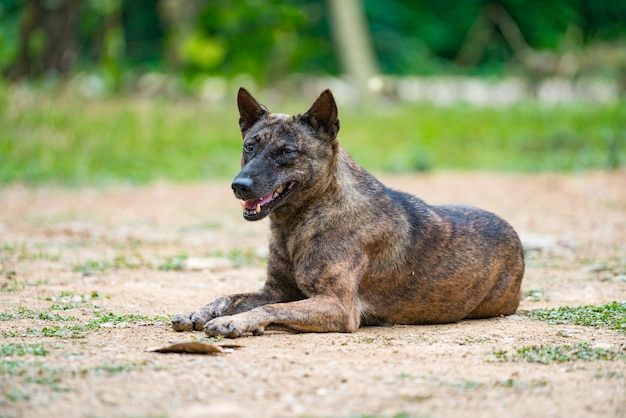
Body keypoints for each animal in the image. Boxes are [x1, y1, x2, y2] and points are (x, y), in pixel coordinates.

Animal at [169, 86, 520, 338]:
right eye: (249, 146)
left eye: (286, 152)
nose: (239, 186)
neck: (305, 217)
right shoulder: (276, 290)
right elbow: (230, 296)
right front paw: (198, 311)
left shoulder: (338, 306)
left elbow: (273, 310)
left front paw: (239, 322)